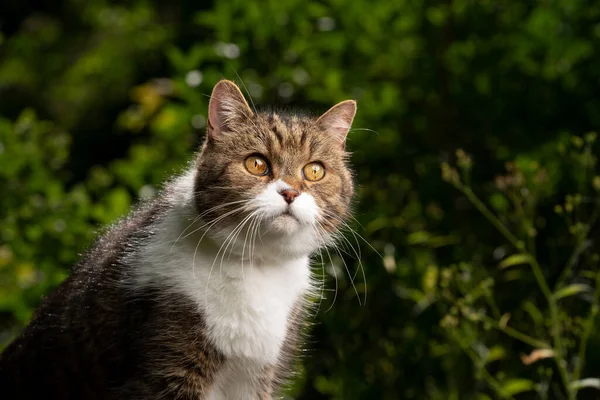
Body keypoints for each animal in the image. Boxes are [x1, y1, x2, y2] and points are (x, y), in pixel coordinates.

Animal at [0, 79, 356, 398]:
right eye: (256, 164)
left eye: (315, 171)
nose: (290, 192)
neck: (256, 265)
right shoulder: (168, 356)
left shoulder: (257, 374)